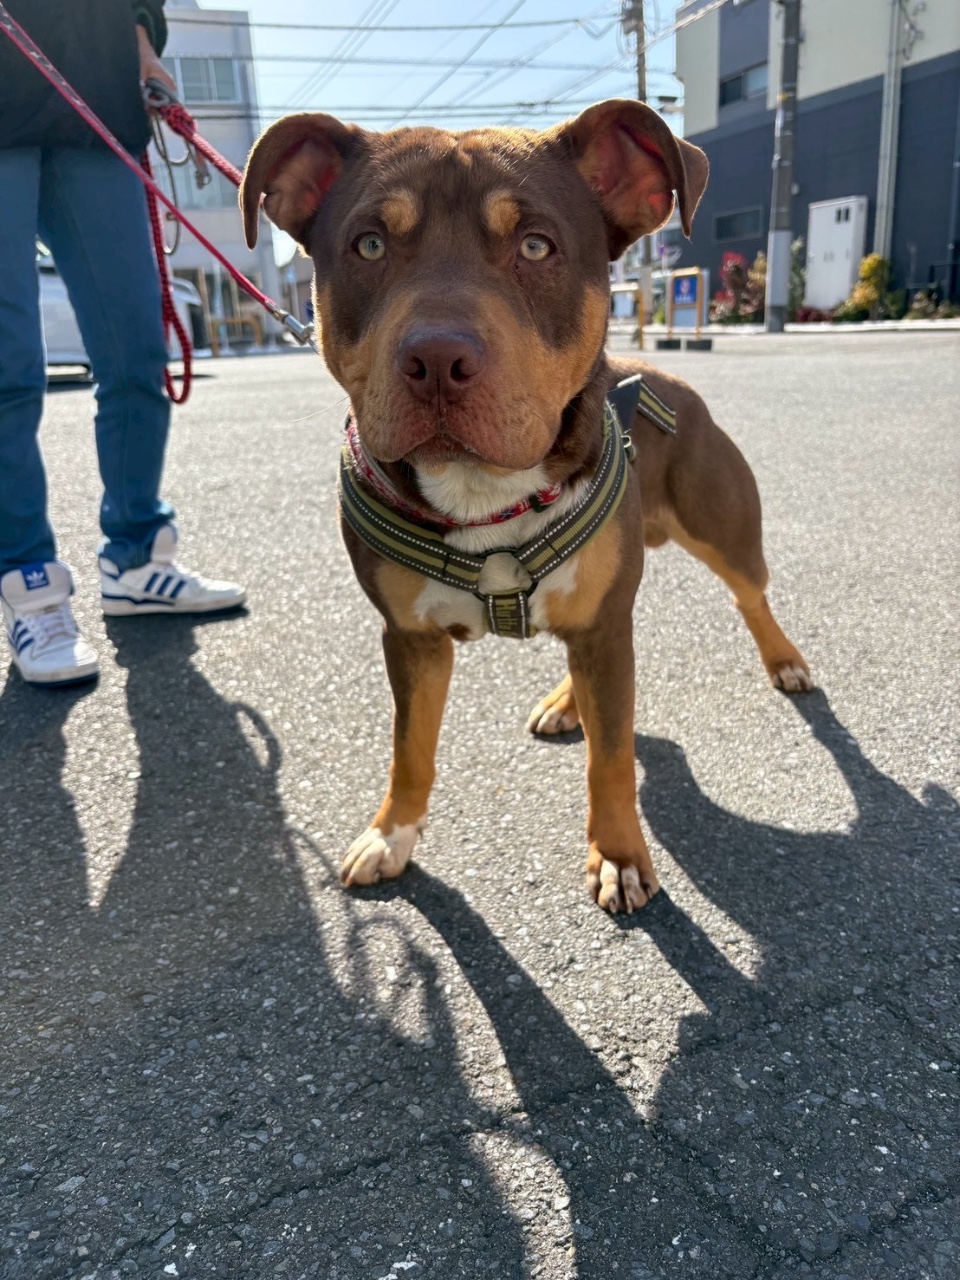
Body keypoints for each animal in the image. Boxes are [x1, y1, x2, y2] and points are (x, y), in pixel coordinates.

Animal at [240, 98, 812, 915]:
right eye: (369, 244)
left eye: (537, 246)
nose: (436, 359)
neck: (484, 493)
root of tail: (665, 375)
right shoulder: (411, 639)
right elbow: (409, 749)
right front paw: (392, 834)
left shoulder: (605, 629)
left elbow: (612, 757)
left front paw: (618, 853)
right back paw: (568, 700)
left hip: (722, 531)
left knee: (749, 595)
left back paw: (785, 660)